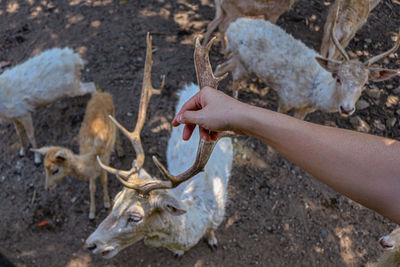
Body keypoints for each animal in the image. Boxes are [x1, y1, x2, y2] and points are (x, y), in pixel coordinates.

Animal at [217, 18, 398, 119]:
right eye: (338, 78)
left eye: (365, 84)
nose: (346, 109)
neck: (315, 96)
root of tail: (232, 26)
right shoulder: (286, 98)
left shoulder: (304, 110)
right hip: (245, 65)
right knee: (234, 77)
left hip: (238, 58)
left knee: (222, 66)